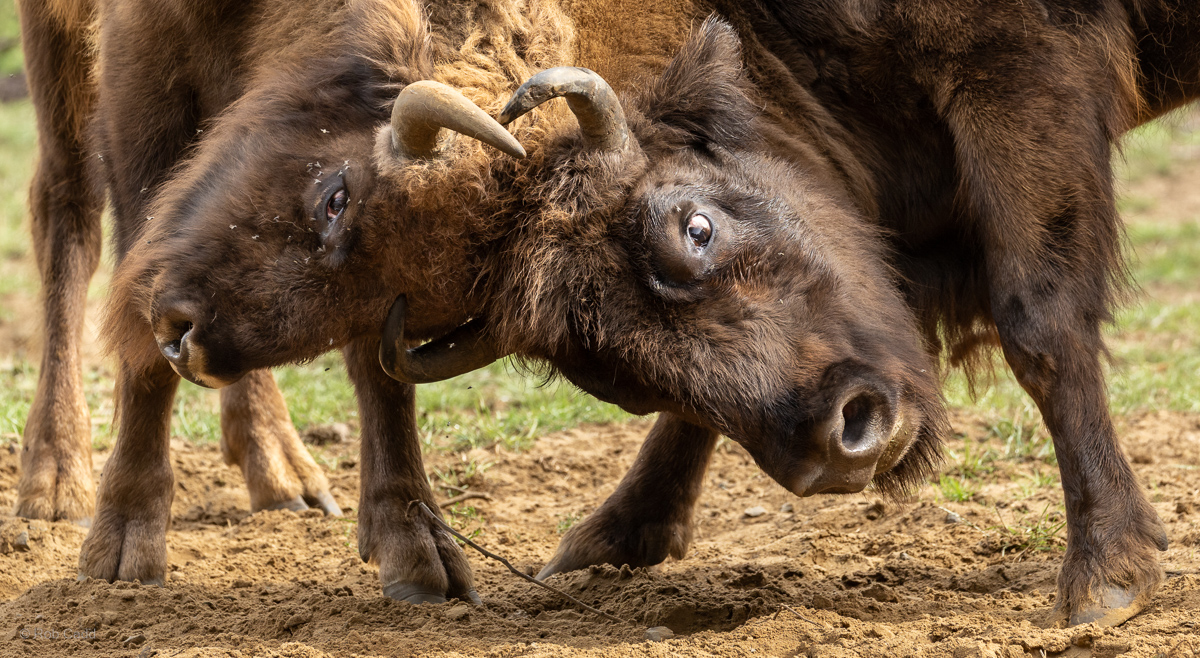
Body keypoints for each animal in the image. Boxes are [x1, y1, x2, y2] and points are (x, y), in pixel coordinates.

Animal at [53, 0, 1200, 629]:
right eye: (607, 373)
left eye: (695, 226)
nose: (849, 437)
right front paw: (609, 538)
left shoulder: (1018, 77)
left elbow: (1041, 320)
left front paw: (1107, 579)